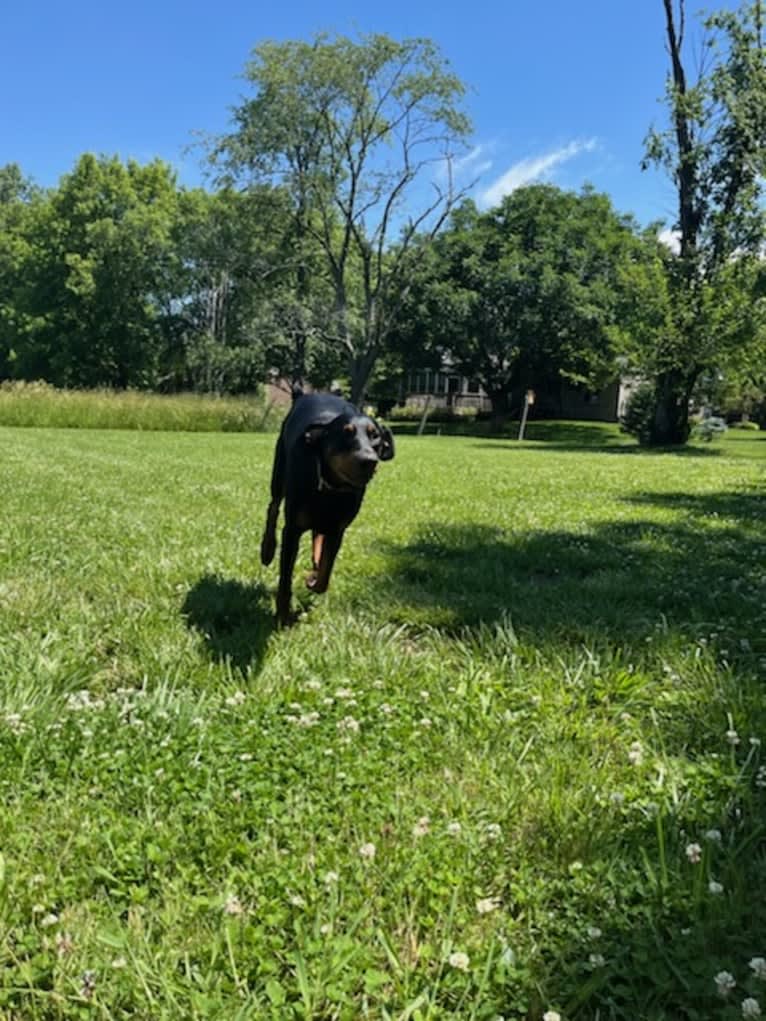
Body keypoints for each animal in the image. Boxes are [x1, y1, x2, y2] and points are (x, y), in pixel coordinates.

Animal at [263, 390, 396, 624]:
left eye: (375, 436)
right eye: (346, 433)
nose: (369, 460)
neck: (331, 489)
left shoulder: (338, 530)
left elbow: (325, 576)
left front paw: (313, 579)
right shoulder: (292, 530)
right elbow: (285, 580)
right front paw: (282, 616)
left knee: (318, 535)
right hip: (279, 471)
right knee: (273, 506)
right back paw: (267, 549)